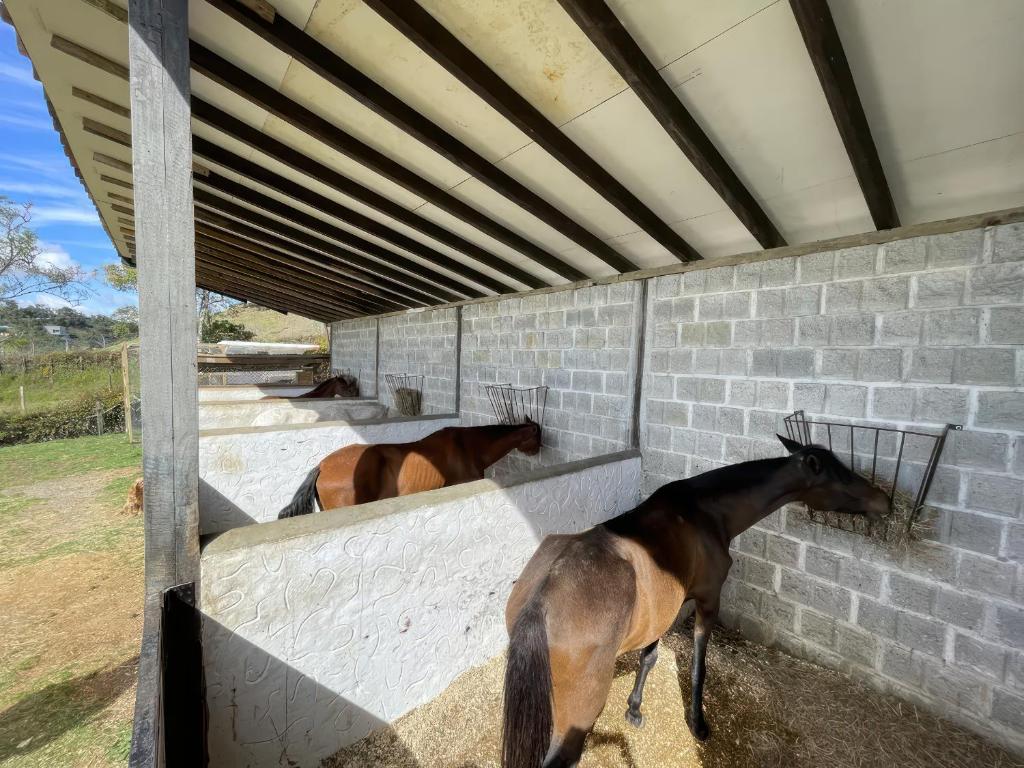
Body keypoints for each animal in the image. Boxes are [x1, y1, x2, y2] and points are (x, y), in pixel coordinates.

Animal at [499, 436, 892, 765]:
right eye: (842, 477)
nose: (884, 500)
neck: (706, 512)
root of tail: (542, 599)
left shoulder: (665, 606)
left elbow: (649, 656)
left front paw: (634, 710)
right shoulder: (707, 601)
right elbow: (699, 663)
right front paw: (698, 722)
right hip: (576, 719)